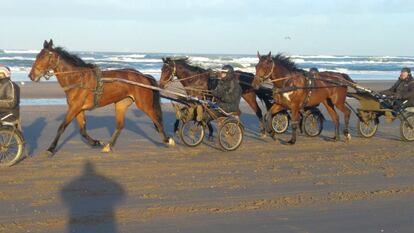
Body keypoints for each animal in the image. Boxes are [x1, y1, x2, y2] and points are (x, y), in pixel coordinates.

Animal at [27, 40, 173, 156]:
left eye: (44, 57)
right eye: (37, 56)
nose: (31, 76)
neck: (77, 78)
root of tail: (143, 76)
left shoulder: (75, 107)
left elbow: (62, 127)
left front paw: (51, 149)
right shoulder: (78, 109)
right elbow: (82, 130)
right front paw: (96, 142)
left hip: (144, 104)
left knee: (157, 120)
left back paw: (167, 140)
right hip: (121, 104)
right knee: (120, 125)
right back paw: (108, 146)